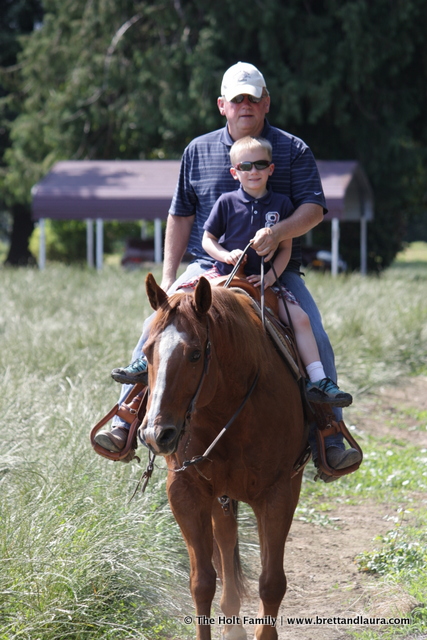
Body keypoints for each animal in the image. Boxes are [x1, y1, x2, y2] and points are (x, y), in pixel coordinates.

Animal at [140, 276, 308, 640]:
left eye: (195, 354)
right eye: (146, 352)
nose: (157, 434)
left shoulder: (279, 493)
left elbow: (271, 582)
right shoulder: (186, 492)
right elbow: (202, 581)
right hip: (221, 496)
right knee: (227, 542)